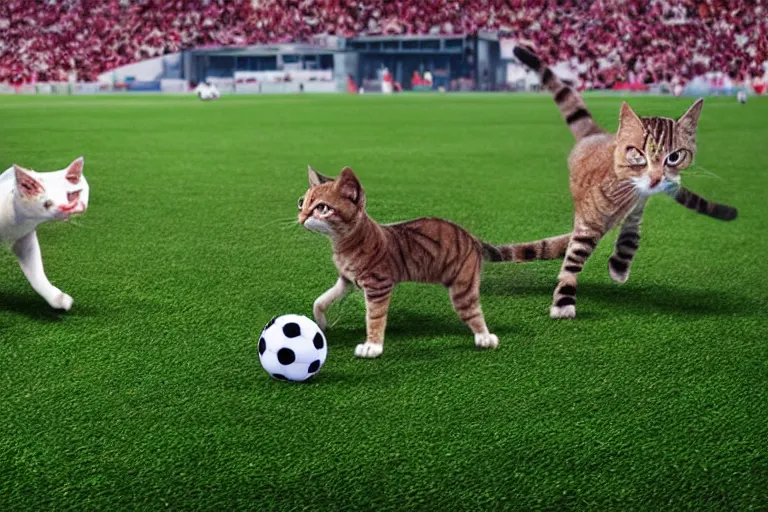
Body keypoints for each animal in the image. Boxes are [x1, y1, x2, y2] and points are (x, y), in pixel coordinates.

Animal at [0, 156, 89, 310]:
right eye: (47, 203)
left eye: (72, 195)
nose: (65, 208)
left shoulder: (25, 240)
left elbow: (36, 273)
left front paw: (60, 300)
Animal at [300, 166, 568, 358]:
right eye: (302, 203)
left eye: (323, 208)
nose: (301, 218)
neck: (343, 245)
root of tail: (471, 237)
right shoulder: (347, 280)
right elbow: (320, 301)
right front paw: (322, 323)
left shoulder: (378, 286)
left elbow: (374, 318)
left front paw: (372, 347)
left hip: (462, 288)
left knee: (474, 312)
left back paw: (485, 338)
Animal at [512, 48, 736, 320]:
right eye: (638, 154)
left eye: (674, 156)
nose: (656, 178)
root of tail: (596, 134)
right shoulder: (588, 223)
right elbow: (573, 260)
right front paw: (564, 301)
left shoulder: (638, 202)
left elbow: (631, 230)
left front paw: (619, 261)